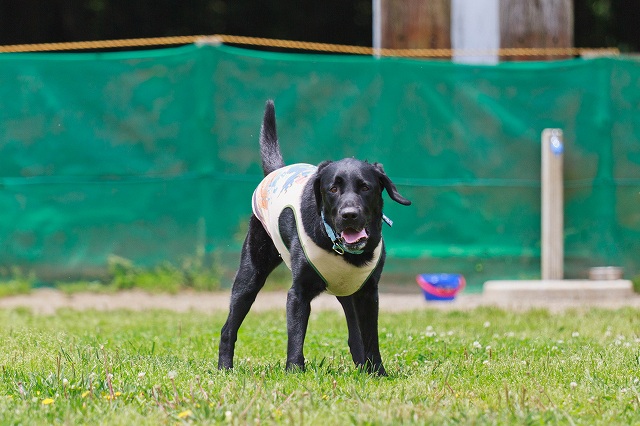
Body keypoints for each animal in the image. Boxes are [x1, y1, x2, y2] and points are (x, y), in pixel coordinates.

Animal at [219, 100, 410, 376]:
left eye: (366, 187)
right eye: (333, 188)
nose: (349, 215)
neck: (343, 250)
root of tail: (276, 170)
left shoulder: (368, 294)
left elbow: (370, 338)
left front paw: (378, 373)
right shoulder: (298, 293)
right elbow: (296, 336)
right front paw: (294, 371)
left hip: (347, 292)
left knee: (355, 337)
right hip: (250, 275)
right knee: (228, 328)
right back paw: (224, 368)